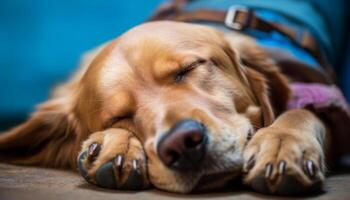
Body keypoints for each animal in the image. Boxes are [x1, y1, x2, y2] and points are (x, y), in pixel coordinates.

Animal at [0, 21, 328, 195]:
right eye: (118, 117)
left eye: (190, 68)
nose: (182, 144)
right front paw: (116, 146)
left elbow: (301, 111)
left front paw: (282, 145)